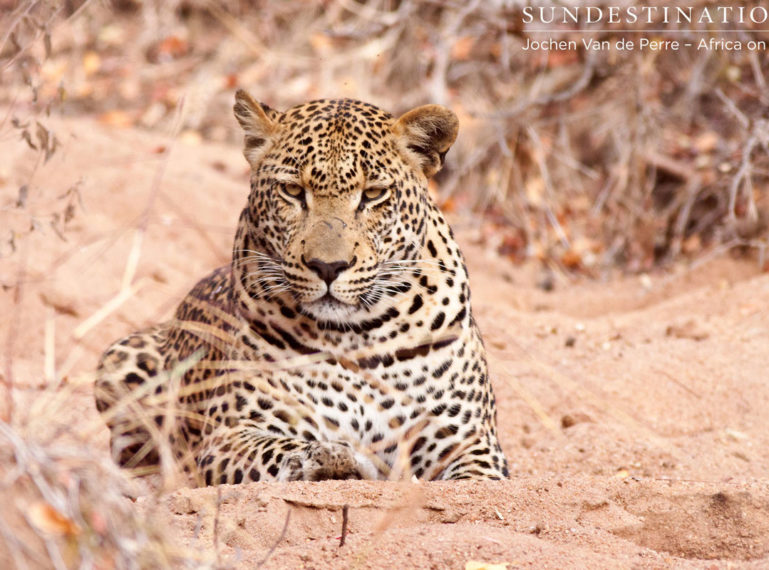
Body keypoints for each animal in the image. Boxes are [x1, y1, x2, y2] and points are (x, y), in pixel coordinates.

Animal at [94, 90, 510, 484]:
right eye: (293, 191)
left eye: (373, 194)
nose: (328, 267)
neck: (357, 335)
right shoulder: (230, 435)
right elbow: (283, 451)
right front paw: (334, 460)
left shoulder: (469, 444)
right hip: (118, 357)